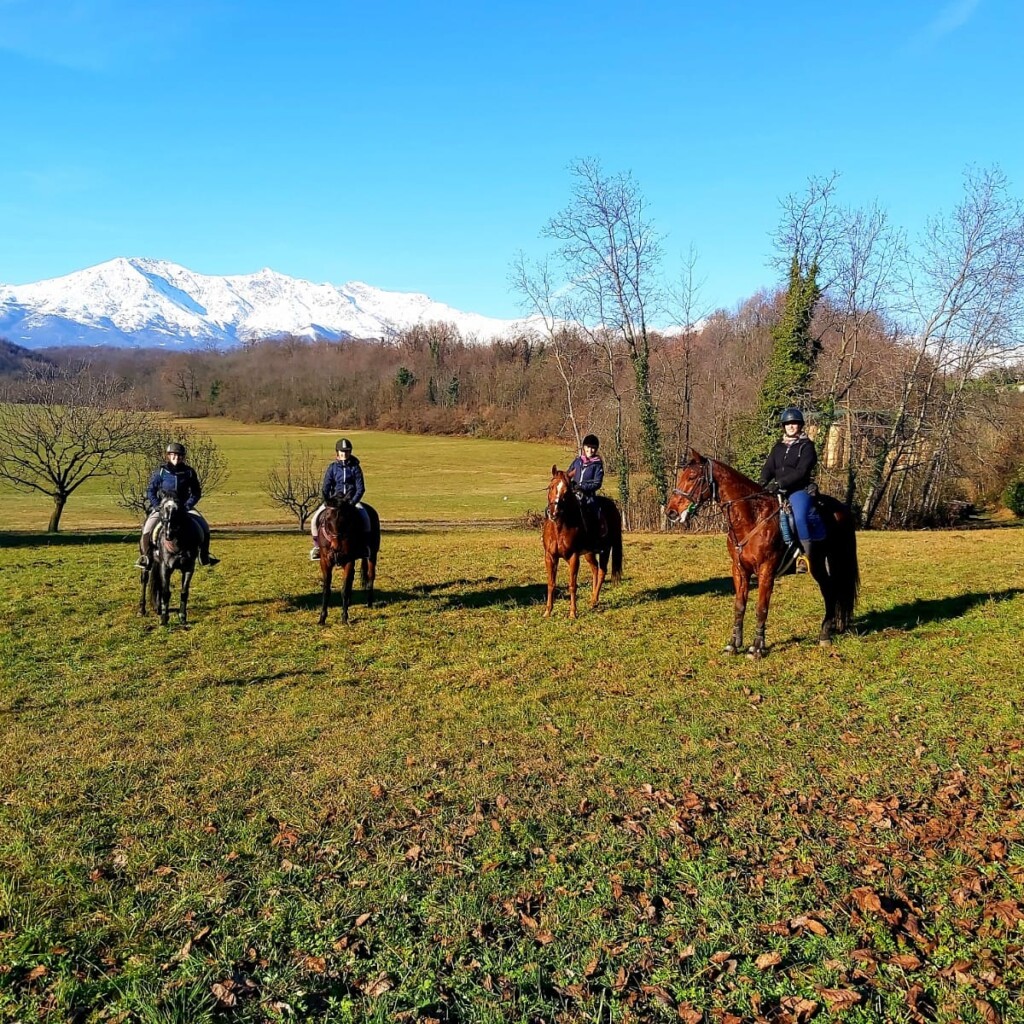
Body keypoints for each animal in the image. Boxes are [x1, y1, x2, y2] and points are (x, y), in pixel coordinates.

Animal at [142, 493, 201, 626]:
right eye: (162, 508)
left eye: (178, 510)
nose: (168, 533)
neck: (177, 543)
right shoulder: (165, 567)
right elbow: (165, 592)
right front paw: (164, 619)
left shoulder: (189, 568)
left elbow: (184, 592)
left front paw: (182, 617)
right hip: (148, 563)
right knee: (144, 581)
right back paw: (141, 610)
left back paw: (159, 608)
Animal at [544, 468, 622, 618]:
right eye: (551, 487)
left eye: (566, 491)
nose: (553, 513)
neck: (559, 527)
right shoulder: (550, 556)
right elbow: (551, 583)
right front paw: (547, 611)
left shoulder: (573, 557)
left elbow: (572, 585)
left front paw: (572, 613)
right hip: (589, 553)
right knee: (595, 570)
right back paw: (593, 599)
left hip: (605, 549)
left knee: (602, 572)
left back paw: (594, 601)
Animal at [667, 448, 860, 655]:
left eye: (692, 477)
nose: (671, 512)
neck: (753, 517)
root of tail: (841, 509)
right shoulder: (739, 570)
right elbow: (739, 606)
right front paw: (733, 644)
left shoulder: (766, 570)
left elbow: (761, 608)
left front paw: (757, 647)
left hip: (823, 561)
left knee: (829, 590)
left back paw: (825, 634)